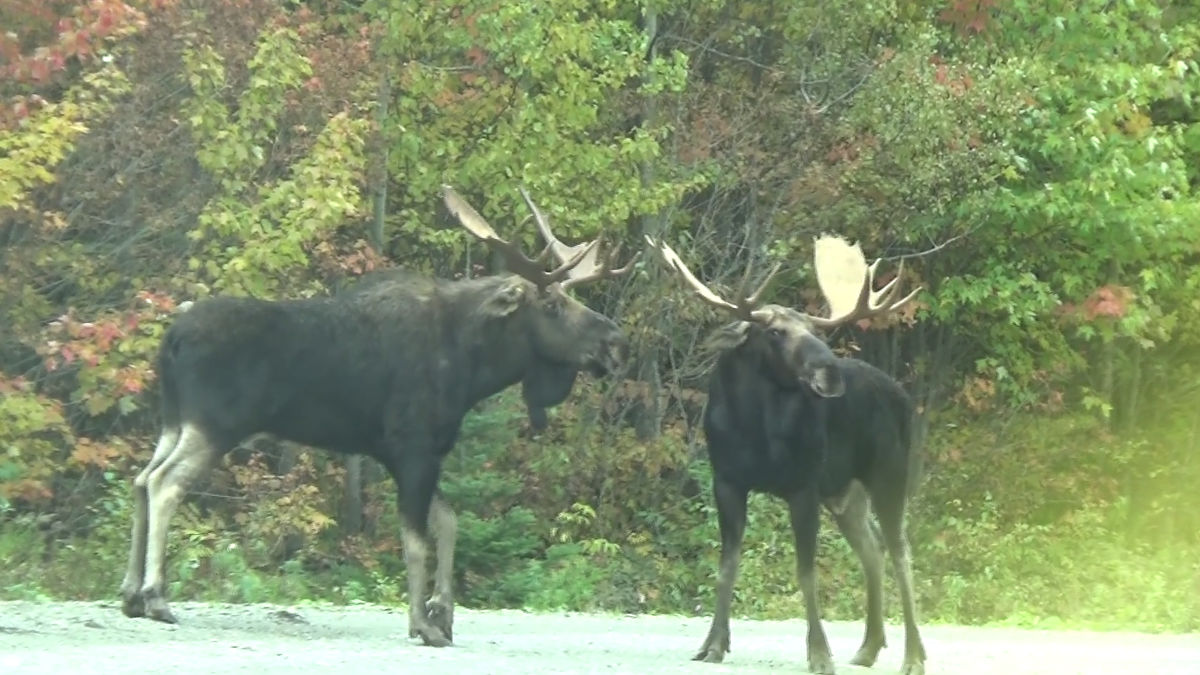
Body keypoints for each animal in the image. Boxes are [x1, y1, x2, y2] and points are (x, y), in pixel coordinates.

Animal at [117, 184, 633, 648]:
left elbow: (448, 523)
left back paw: (130, 594)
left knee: (141, 479)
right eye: (552, 305)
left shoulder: (406, 453)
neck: (472, 368)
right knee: (165, 483)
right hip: (214, 424)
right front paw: (423, 624)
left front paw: (442, 613)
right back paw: (155, 595)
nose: (615, 342)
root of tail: (170, 340)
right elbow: (417, 541)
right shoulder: (414, 448)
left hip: (174, 420)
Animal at [648, 235, 926, 672]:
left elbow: (806, 572)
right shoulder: (726, 481)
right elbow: (726, 566)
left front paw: (819, 653)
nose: (830, 371)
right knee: (873, 550)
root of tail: (904, 398)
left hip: (889, 473)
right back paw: (868, 647)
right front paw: (713, 644)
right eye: (775, 331)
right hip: (846, 494)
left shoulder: (803, 486)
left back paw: (913, 656)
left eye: (813, 328)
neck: (755, 432)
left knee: (901, 554)